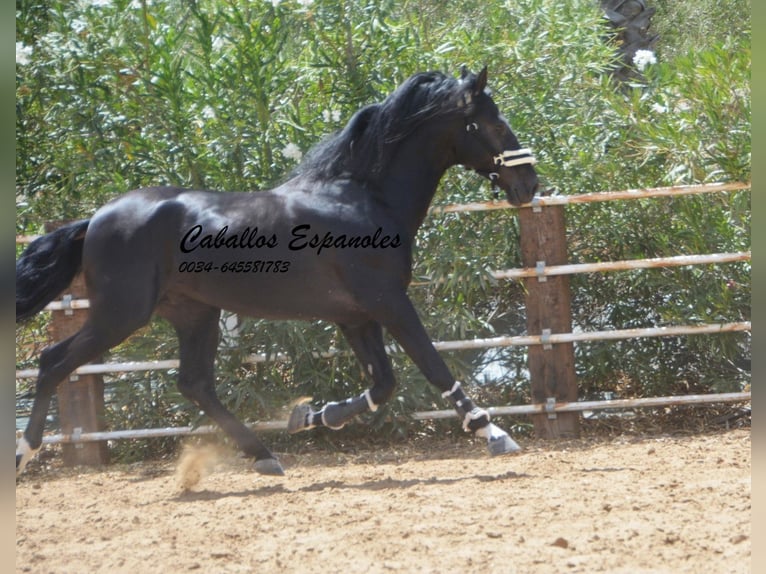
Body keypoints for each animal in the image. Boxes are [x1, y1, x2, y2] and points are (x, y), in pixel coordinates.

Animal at [15, 67, 536, 476]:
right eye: (493, 121)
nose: (529, 183)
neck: (362, 199)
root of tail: (95, 220)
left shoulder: (356, 316)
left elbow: (382, 384)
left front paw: (312, 417)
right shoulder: (389, 302)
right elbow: (432, 365)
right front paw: (493, 432)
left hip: (193, 313)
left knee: (194, 383)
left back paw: (265, 454)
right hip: (122, 314)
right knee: (53, 362)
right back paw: (24, 454)